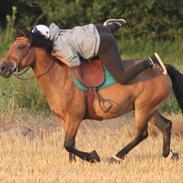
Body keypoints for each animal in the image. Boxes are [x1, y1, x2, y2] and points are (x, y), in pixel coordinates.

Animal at [0, 29, 181, 163]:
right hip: (149, 108)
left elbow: (67, 144)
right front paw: (72, 162)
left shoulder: (75, 118)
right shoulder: (65, 120)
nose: (3, 68)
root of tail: (162, 70)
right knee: (166, 125)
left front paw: (93, 156)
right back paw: (169, 154)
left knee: (142, 134)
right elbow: (70, 144)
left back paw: (116, 157)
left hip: (143, 108)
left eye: (21, 47)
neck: (59, 78)